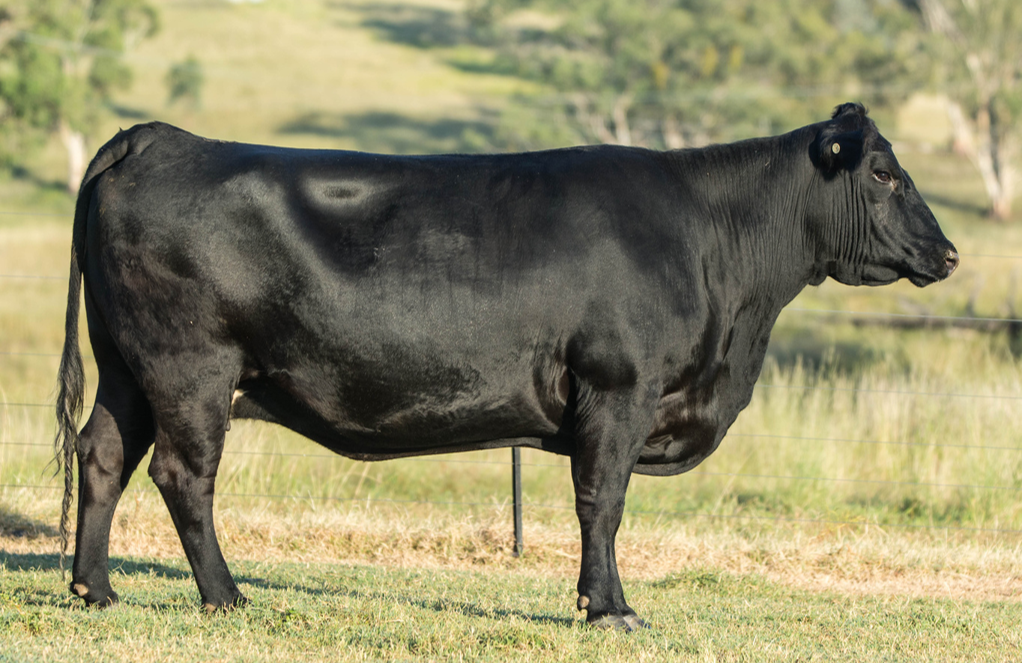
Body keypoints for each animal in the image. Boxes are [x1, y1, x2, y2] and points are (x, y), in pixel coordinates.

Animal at [54, 103, 957, 630]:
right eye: (884, 172)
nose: (947, 252)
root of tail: (157, 136)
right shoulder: (618, 389)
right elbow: (603, 502)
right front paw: (609, 608)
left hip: (127, 368)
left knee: (101, 452)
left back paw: (94, 589)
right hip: (192, 367)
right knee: (182, 473)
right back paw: (226, 595)